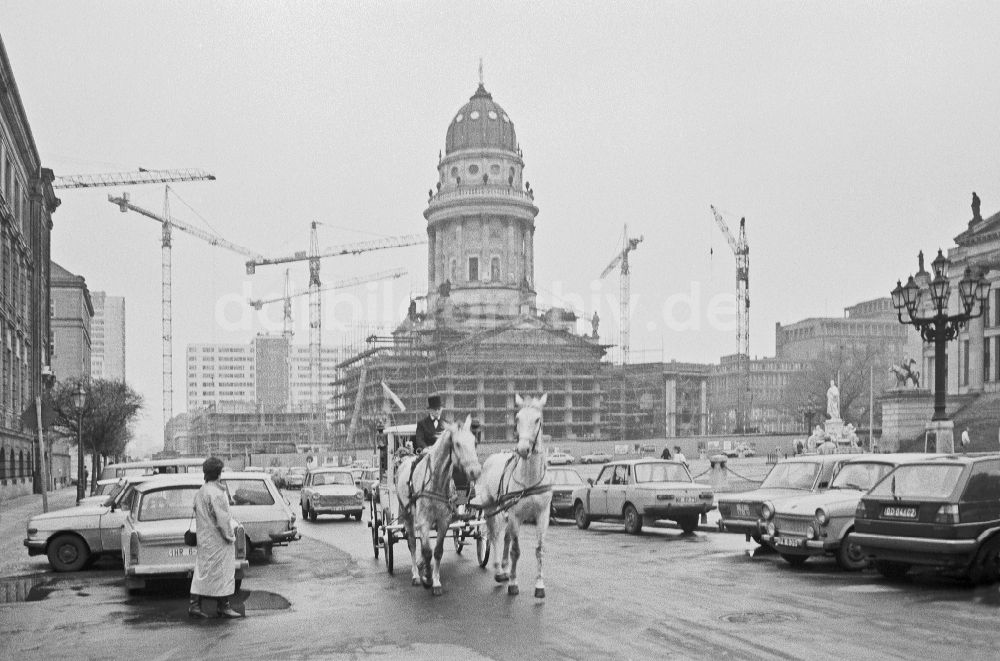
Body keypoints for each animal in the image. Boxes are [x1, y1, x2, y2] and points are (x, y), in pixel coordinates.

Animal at [394, 416, 480, 596]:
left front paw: (436, 581)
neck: (436, 482)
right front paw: (427, 577)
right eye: (457, 444)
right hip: (407, 515)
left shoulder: (443, 521)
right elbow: (427, 551)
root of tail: (404, 459)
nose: (475, 471)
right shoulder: (424, 521)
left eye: (474, 441)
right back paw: (415, 574)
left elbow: (437, 551)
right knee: (412, 543)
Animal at [478, 392, 556, 600]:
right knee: (494, 536)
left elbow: (539, 550)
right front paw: (513, 583)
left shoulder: (542, 515)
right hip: (490, 507)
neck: (529, 480)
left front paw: (539, 585)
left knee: (505, 536)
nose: (522, 450)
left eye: (537, 420)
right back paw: (499, 570)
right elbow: (515, 550)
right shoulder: (515, 514)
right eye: (517, 418)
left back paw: (504, 569)